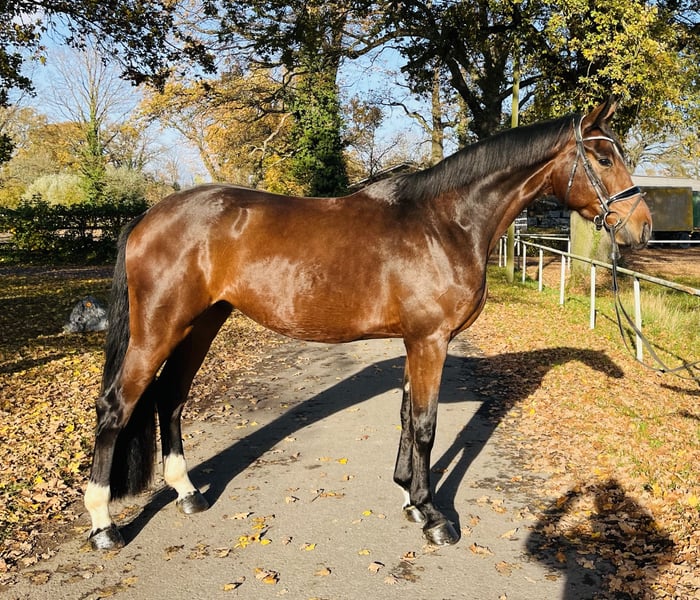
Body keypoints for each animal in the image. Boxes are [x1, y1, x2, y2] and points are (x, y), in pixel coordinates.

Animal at [84, 99, 652, 550]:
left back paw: (187, 493)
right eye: (604, 157)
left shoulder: (415, 341)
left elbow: (405, 416)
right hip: (160, 329)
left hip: (201, 324)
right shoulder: (430, 341)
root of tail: (148, 217)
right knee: (117, 406)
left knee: (171, 398)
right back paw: (104, 525)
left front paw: (408, 497)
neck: (444, 224)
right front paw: (433, 515)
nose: (642, 228)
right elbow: (424, 425)